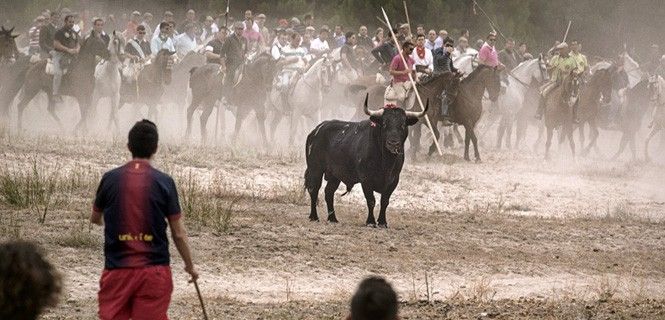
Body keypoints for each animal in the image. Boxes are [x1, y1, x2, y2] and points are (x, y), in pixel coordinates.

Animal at [304, 95, 428, 228]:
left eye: (403, 124)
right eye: (384, 124)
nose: (393, 143)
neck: (386, 162)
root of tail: (316, 130)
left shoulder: (394, 180)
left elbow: (385, 201)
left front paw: (383, 222)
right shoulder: (366, 179)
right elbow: (371, 200)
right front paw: (371, 221)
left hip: (334, 175)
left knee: (328, 192)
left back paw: (333, 218)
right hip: (315, 169)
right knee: (314, 190)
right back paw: (314, 216)